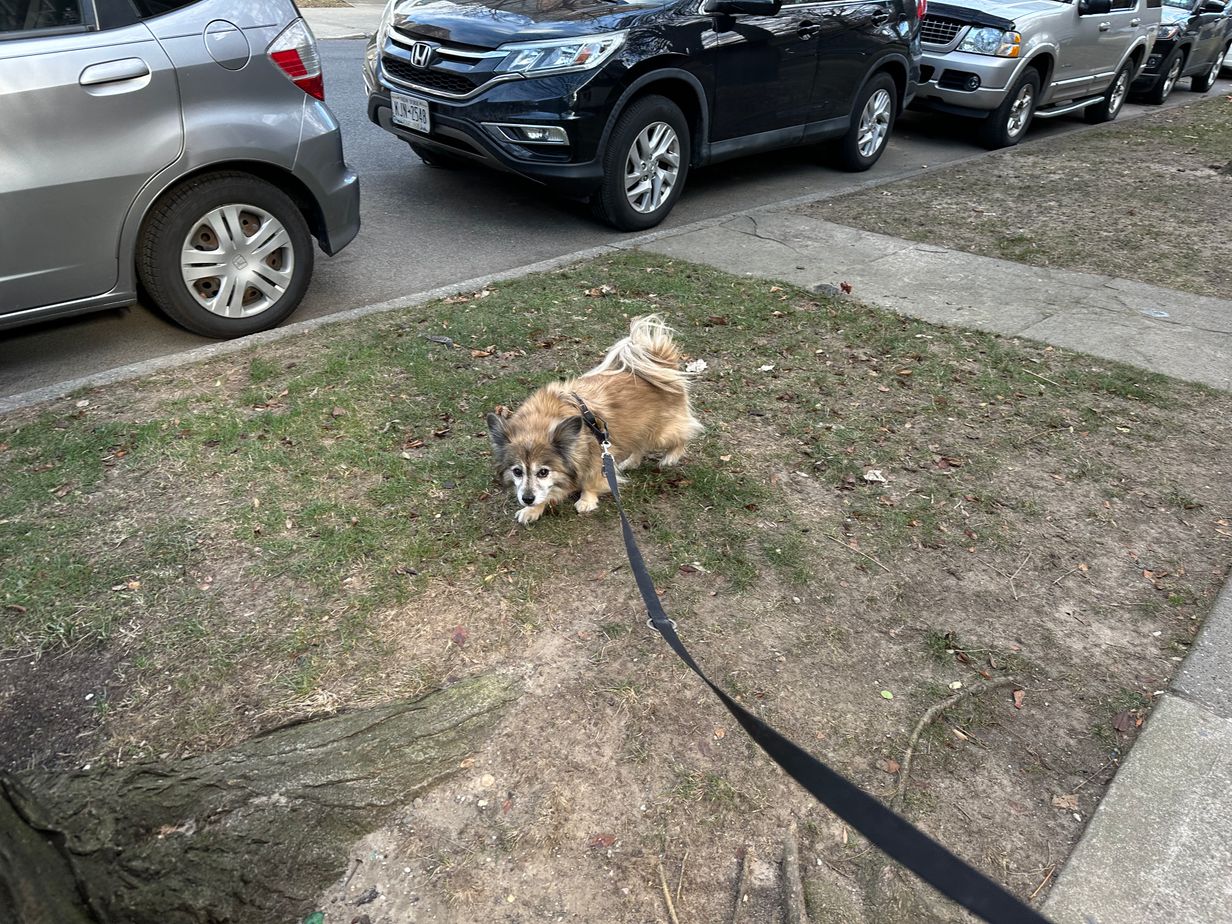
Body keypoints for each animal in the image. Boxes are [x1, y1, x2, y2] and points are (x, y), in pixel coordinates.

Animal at [487, 315, 704, 524]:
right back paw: (630, 462)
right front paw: (533, 509)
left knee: (682, 435)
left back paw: (670, 457)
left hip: (661, 433)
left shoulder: (595, 456)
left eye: (543, 472)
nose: (527, 499)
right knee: (640, 445)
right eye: (517, 471)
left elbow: (590, 482)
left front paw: (586, 500)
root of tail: (661, 361)